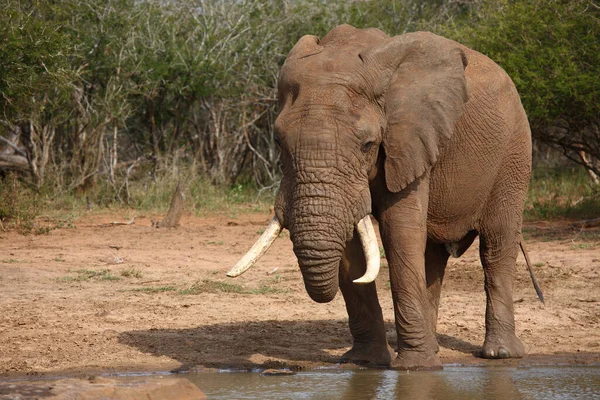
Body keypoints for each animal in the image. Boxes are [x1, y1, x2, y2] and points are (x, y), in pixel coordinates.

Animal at [227, 24, 540, 368]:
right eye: (278, 142)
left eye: (367, 144)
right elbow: (353, 243)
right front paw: (364, 362)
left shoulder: (407, 138)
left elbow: (398, 231)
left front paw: (414, 368)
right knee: (433, 255)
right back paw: (434, 349)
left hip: (514, 151)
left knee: (496, 244)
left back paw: (499, 354)